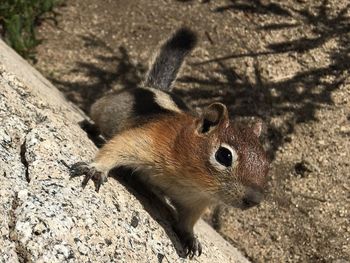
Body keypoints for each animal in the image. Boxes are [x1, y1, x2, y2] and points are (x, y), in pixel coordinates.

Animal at [69, 27, 270, 260]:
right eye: (224, 156)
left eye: (266, 165)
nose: (254, 200)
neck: (189, 180)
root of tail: (153, 86)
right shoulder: (146, 140)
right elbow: (117, 147)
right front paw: (96, 169)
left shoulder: (196, 202)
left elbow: (188, 221)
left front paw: (191, 237)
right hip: (102, 107)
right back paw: (89, 126)